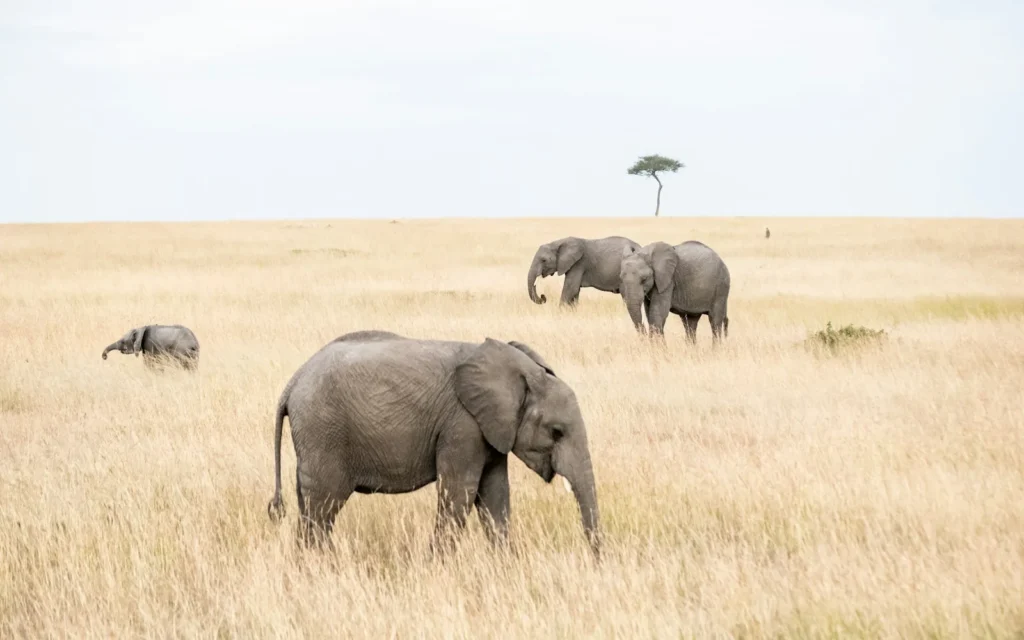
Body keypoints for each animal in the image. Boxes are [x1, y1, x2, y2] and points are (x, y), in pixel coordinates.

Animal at [267, 330, 601, 559]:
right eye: (556, 432)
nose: (596, 560)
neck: (520, 370)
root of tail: (292, 383)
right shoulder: (463, 425)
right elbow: (460, 493)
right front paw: (437, 567)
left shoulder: (491, 430)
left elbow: (495, 495)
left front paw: (506, 565)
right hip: (323, 433)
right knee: (323, 506)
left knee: (310, 506)